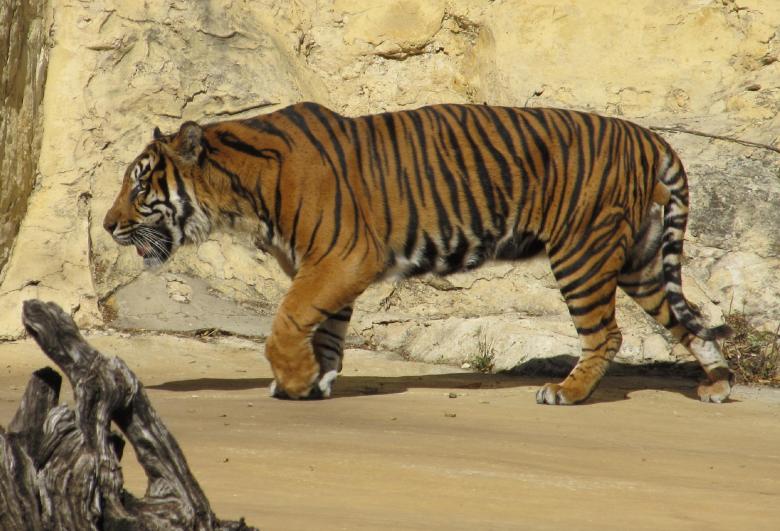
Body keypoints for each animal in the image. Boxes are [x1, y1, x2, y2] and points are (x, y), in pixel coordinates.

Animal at [103, 102, 733, 405]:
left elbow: (286, 321)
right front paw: (314, 382)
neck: (240, 194)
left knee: (606, 333)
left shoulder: (341, 258)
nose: (108, 226)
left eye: (139, 186)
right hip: (640, 260)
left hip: (582, 253)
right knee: (689, 321)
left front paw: (294, 379)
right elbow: (324, 332)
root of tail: (649, 136)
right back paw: (718, 385)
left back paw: (566, 393)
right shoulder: (329, 269)